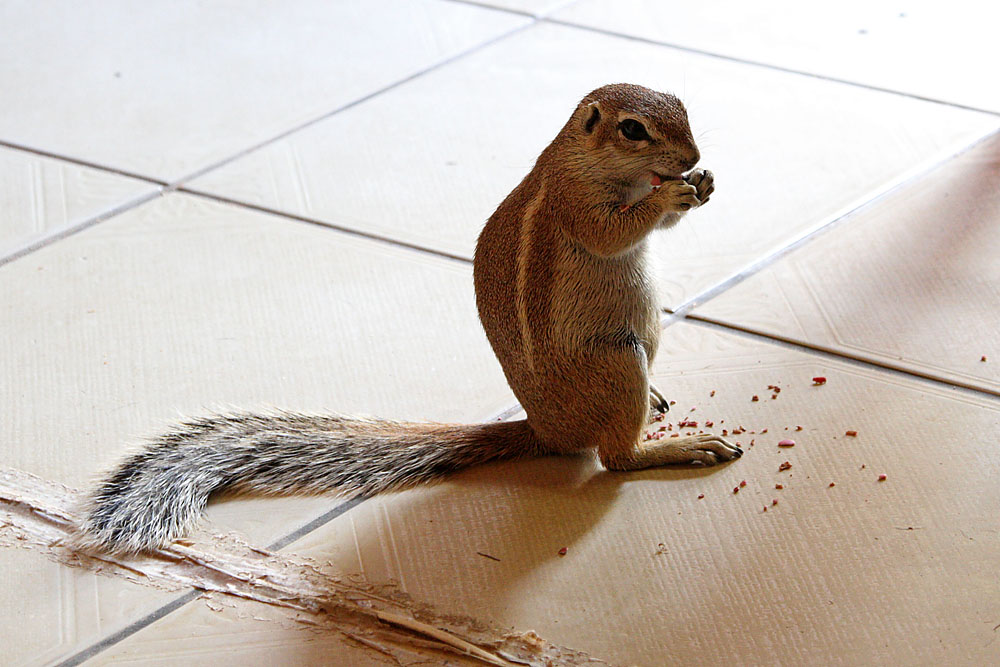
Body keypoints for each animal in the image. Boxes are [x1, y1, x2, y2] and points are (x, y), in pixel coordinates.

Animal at [82, 82, 744, 552]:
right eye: (633, 129)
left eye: (683, 108)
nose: (694, 155)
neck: (589, 161)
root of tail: (546, 430)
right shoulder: (574, 203)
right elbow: (614, 232)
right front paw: (671, 193)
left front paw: (704, 182)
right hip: (617, 360)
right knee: (616, 459)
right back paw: (680, 448)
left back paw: (658, 401)